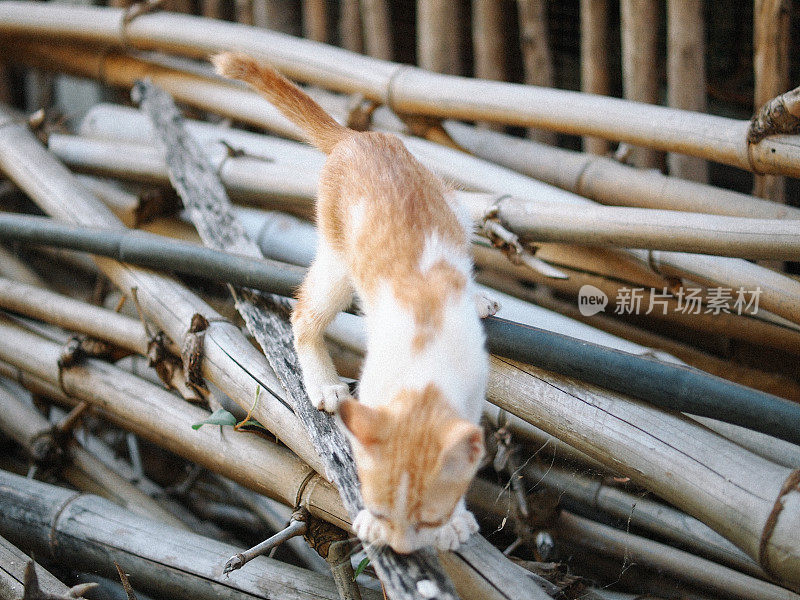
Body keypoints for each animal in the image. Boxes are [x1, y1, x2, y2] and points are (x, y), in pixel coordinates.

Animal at [216, 51, 496, 552]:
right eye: (382, 509)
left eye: (426, 518)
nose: (401, 548)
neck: (424, 361)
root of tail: (355, 138)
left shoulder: (471, 387)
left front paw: (456, 522)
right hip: (337, 254)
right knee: (304, 312)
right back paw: (324, 383)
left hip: (450, 204)